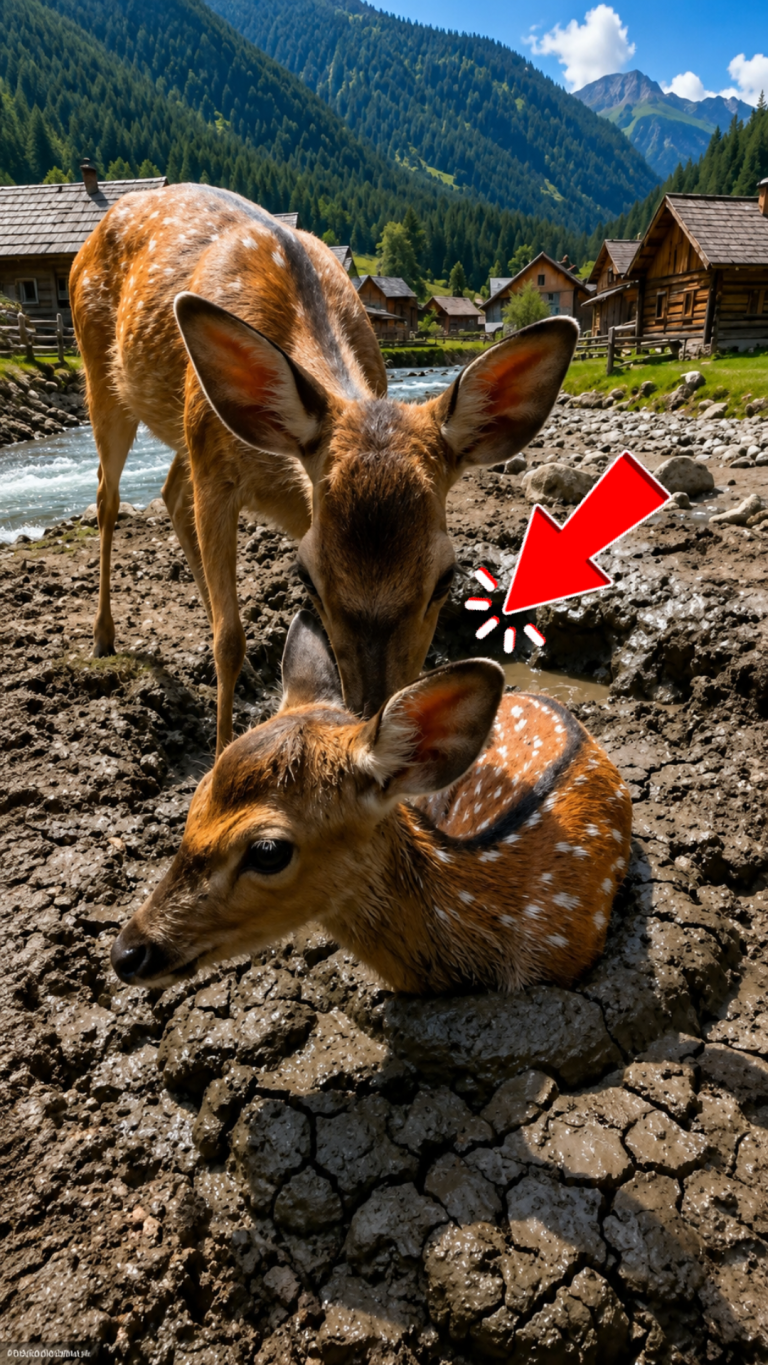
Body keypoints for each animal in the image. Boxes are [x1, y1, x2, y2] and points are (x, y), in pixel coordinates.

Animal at [70, 183, 578, 756]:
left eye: (446, 578)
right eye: (305, 576)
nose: (375, 711)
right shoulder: (215, 471)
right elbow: (229, 639)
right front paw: (221, 752)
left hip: (182, 430)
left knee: (170, 492)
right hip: (101, 372)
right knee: (107, 497)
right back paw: (103, 636)